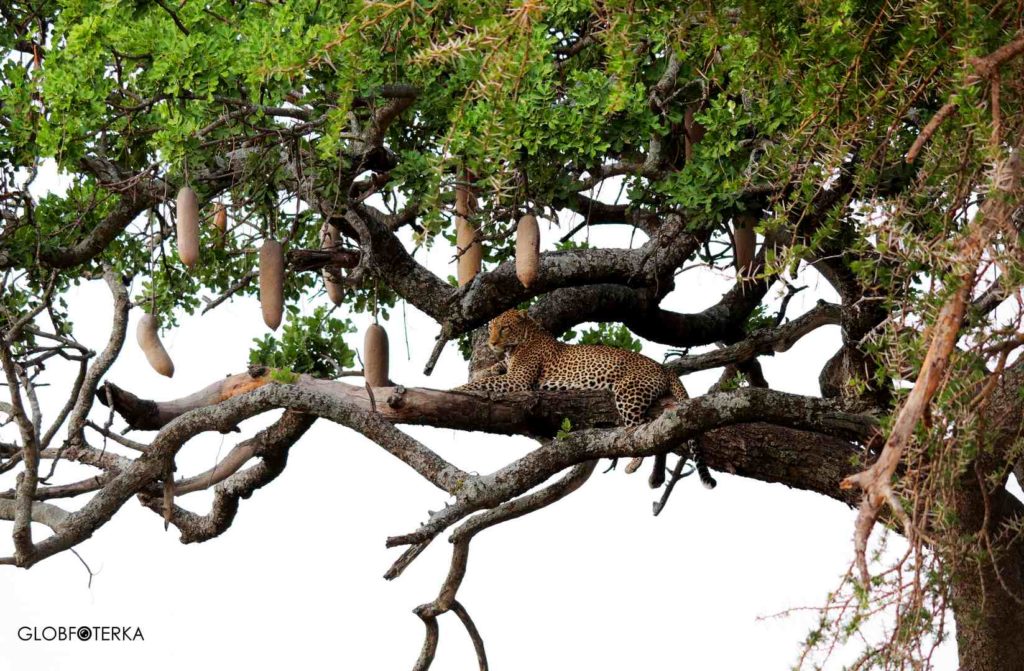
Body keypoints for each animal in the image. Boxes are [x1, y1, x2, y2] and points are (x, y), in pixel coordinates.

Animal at [455, 309, 715, 489]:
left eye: (505, 328)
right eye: (491, 328)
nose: (491, 343)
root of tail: (662, 367)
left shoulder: (518, 381)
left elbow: (480, 384)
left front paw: (456, 389)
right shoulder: (509, 371)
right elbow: (491, 371)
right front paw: (484, 370)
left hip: (628, 392)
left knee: (643, 433)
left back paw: (635, 464)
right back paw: (656, 478)